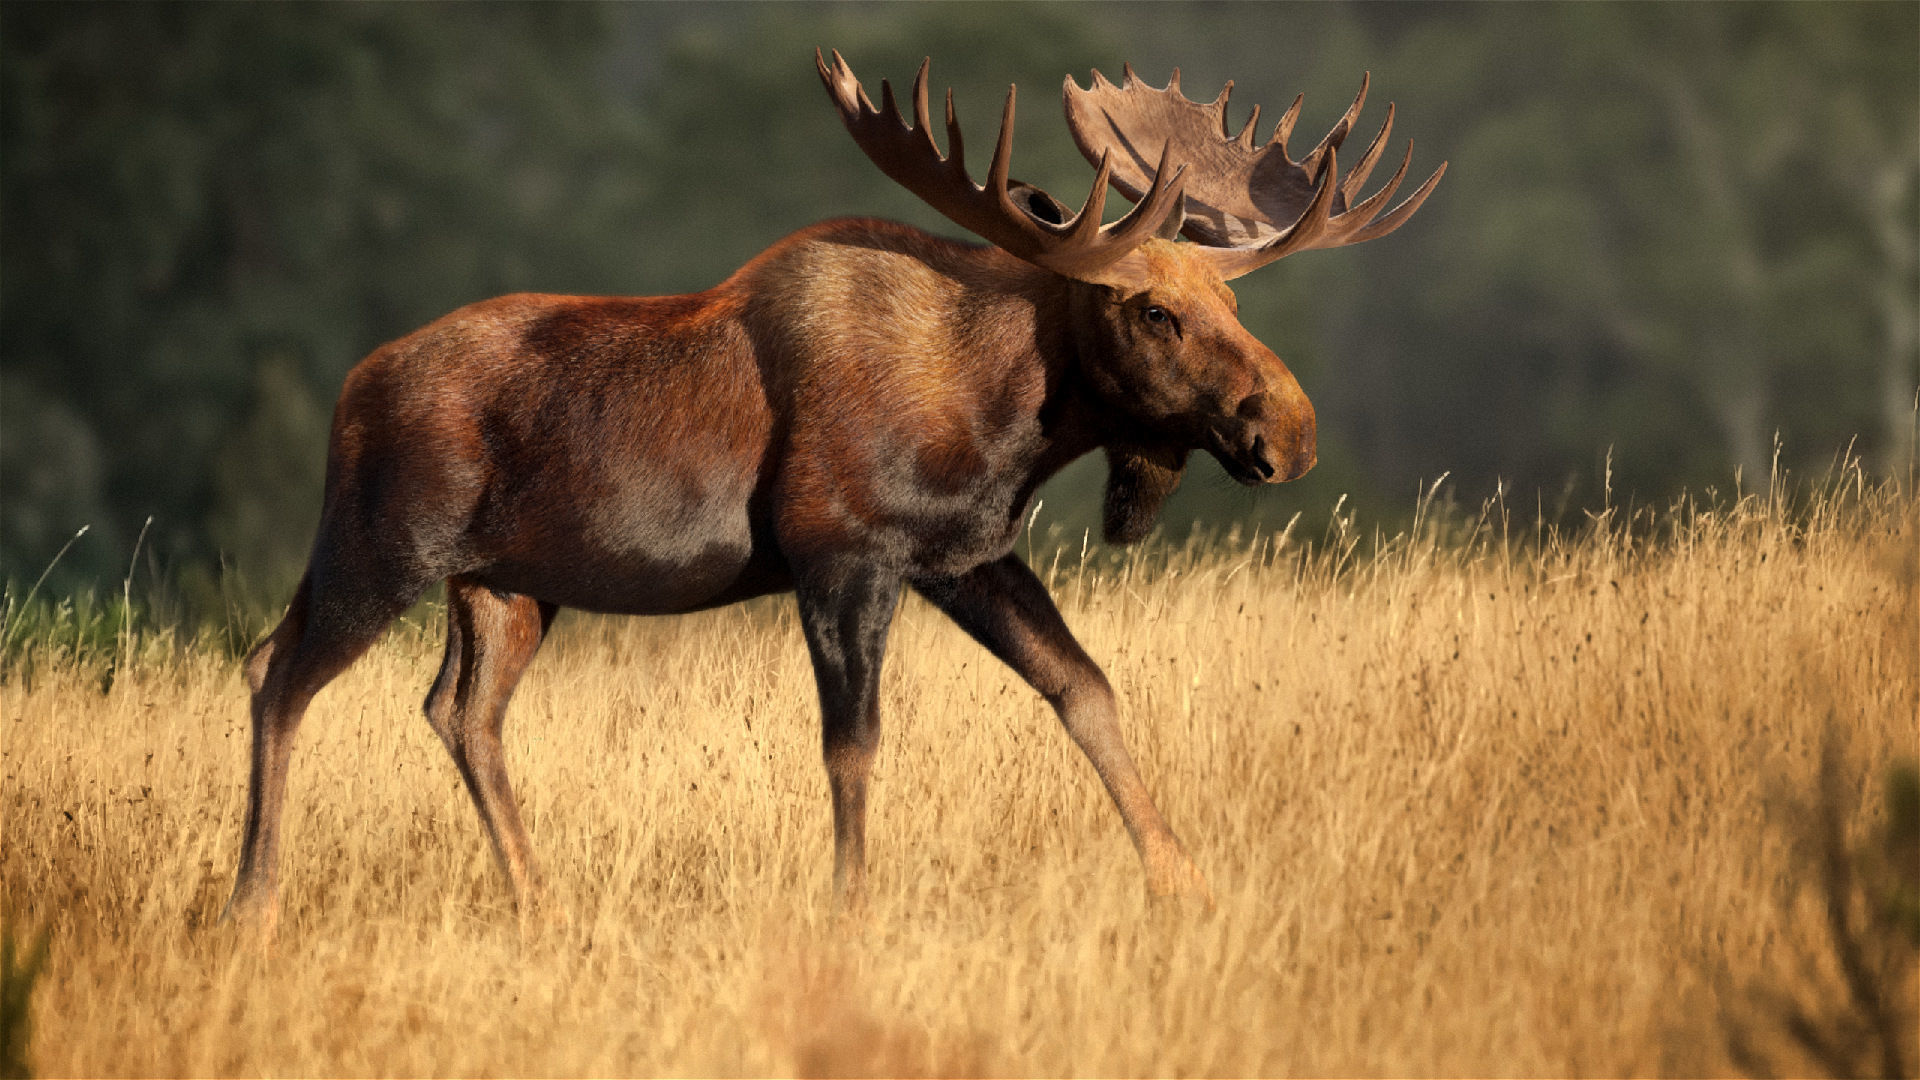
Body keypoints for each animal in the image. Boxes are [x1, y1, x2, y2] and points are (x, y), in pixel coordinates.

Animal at [220, 49, 1443, 933]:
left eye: (1230, 303)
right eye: (1153, 311)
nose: (1290, 432)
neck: (1005, 414)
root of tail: (350, 390)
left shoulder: (969, 556)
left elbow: (1085, 689)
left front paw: (1183, 881)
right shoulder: (841, 552)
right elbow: (853, 744)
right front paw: (852, 909)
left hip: (508, 587)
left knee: (460, 710)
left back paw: (538, 900)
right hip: (377, 548)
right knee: (276, 673)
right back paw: (253, 904)